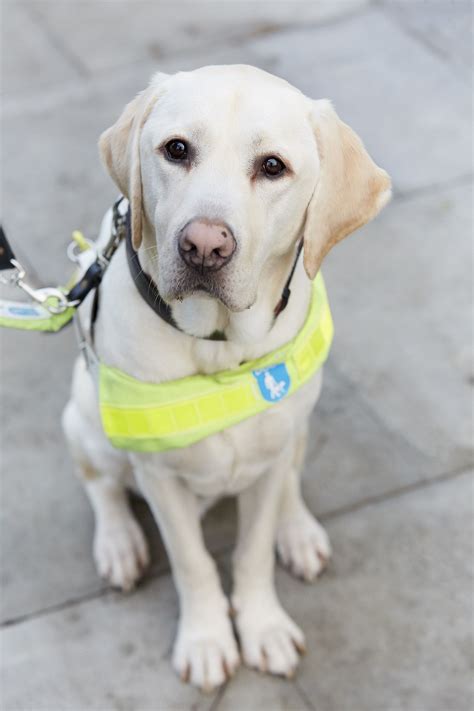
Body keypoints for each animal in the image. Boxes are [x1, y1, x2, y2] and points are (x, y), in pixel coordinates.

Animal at [62, 65, 388, 688]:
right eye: (176, 150)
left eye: (273, 166)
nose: (204, 245)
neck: (218, 345)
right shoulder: (158, 475)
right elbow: (192, 563)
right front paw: (208, 639)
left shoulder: (268, 457)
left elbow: (252, 551)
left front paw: (263, 626)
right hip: (85, 417)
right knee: (99, 482)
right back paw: (118, 543)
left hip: (297, 425)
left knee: (290, 477)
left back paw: (297, 530)